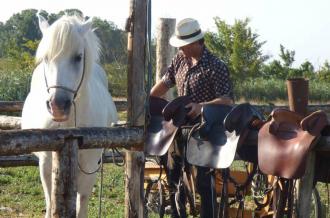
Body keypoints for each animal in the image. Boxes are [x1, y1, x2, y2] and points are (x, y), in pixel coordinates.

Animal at [21, 14, 118, 218]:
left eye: (78, 57)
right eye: (46, 58)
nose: (58, 106)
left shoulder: (90, 164)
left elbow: (82, 203)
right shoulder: (46, 162)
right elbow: (50, 202)